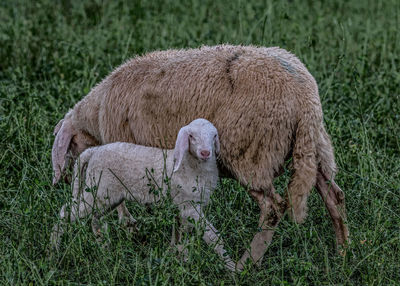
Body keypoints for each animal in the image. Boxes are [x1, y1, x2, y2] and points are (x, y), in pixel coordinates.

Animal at [50, 118, 238, 270]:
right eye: (191, 136)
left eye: (214, 136)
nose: (206, 153)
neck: (191, 165)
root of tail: (93, 151)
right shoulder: (190, 207)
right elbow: (213, 237)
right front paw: (232, 267)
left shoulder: (184, 208)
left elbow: (181, 236)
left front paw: (181, 260)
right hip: (98, 191)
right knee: (66, 211)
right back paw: (55, 249)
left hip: (105, 196)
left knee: (95, 219)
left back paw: (104, 249)